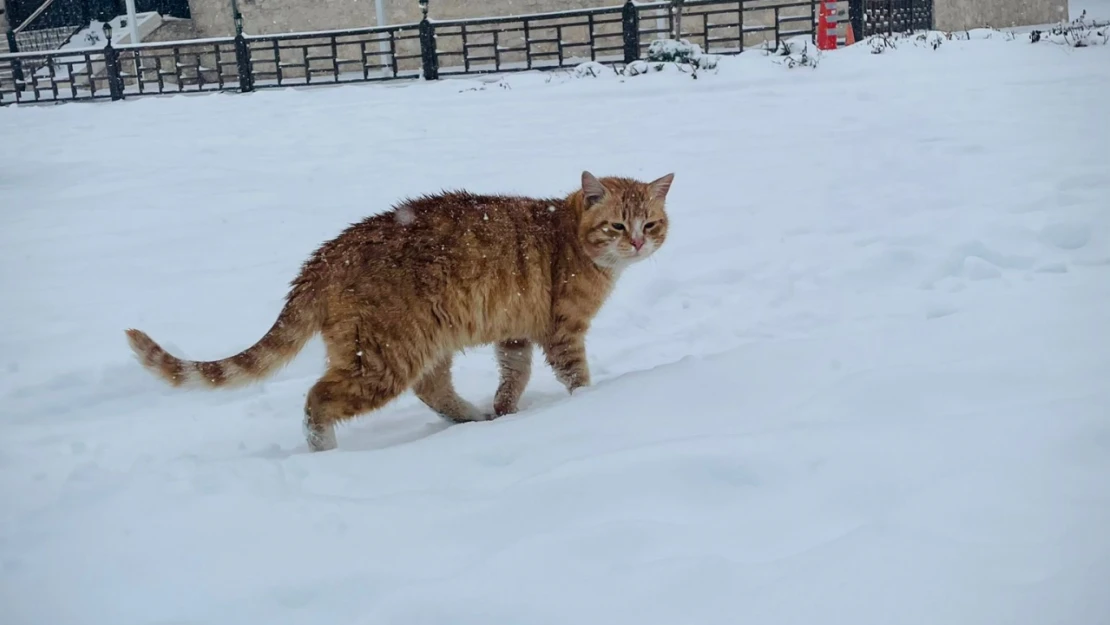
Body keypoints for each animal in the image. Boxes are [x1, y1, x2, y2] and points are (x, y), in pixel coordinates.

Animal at [125, 172, 670, 450]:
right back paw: (324, 451)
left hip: (426, 344)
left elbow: (513, 376)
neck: (568, 233)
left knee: (433, 391)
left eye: (651, 223)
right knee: (317, 399)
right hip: (383, 358)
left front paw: (505, 411)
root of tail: (326, 256)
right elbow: (576, 376)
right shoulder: (562, 332)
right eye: (618, 225)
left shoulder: (514, 334)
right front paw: (587, 404)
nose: (639, 242)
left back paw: (474, 419)